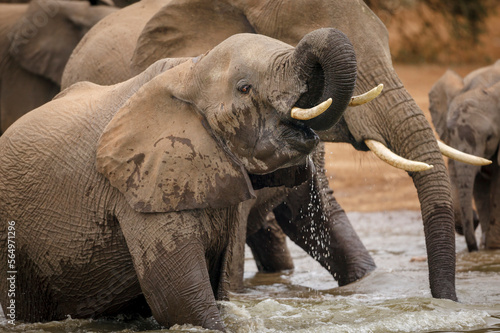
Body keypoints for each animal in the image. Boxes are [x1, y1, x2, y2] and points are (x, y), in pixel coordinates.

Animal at [428, 60, 500, 252]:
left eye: (489, 137)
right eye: (449, 133)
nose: (472, 248)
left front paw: (492, 247)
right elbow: (479, 187)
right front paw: (487, 247)